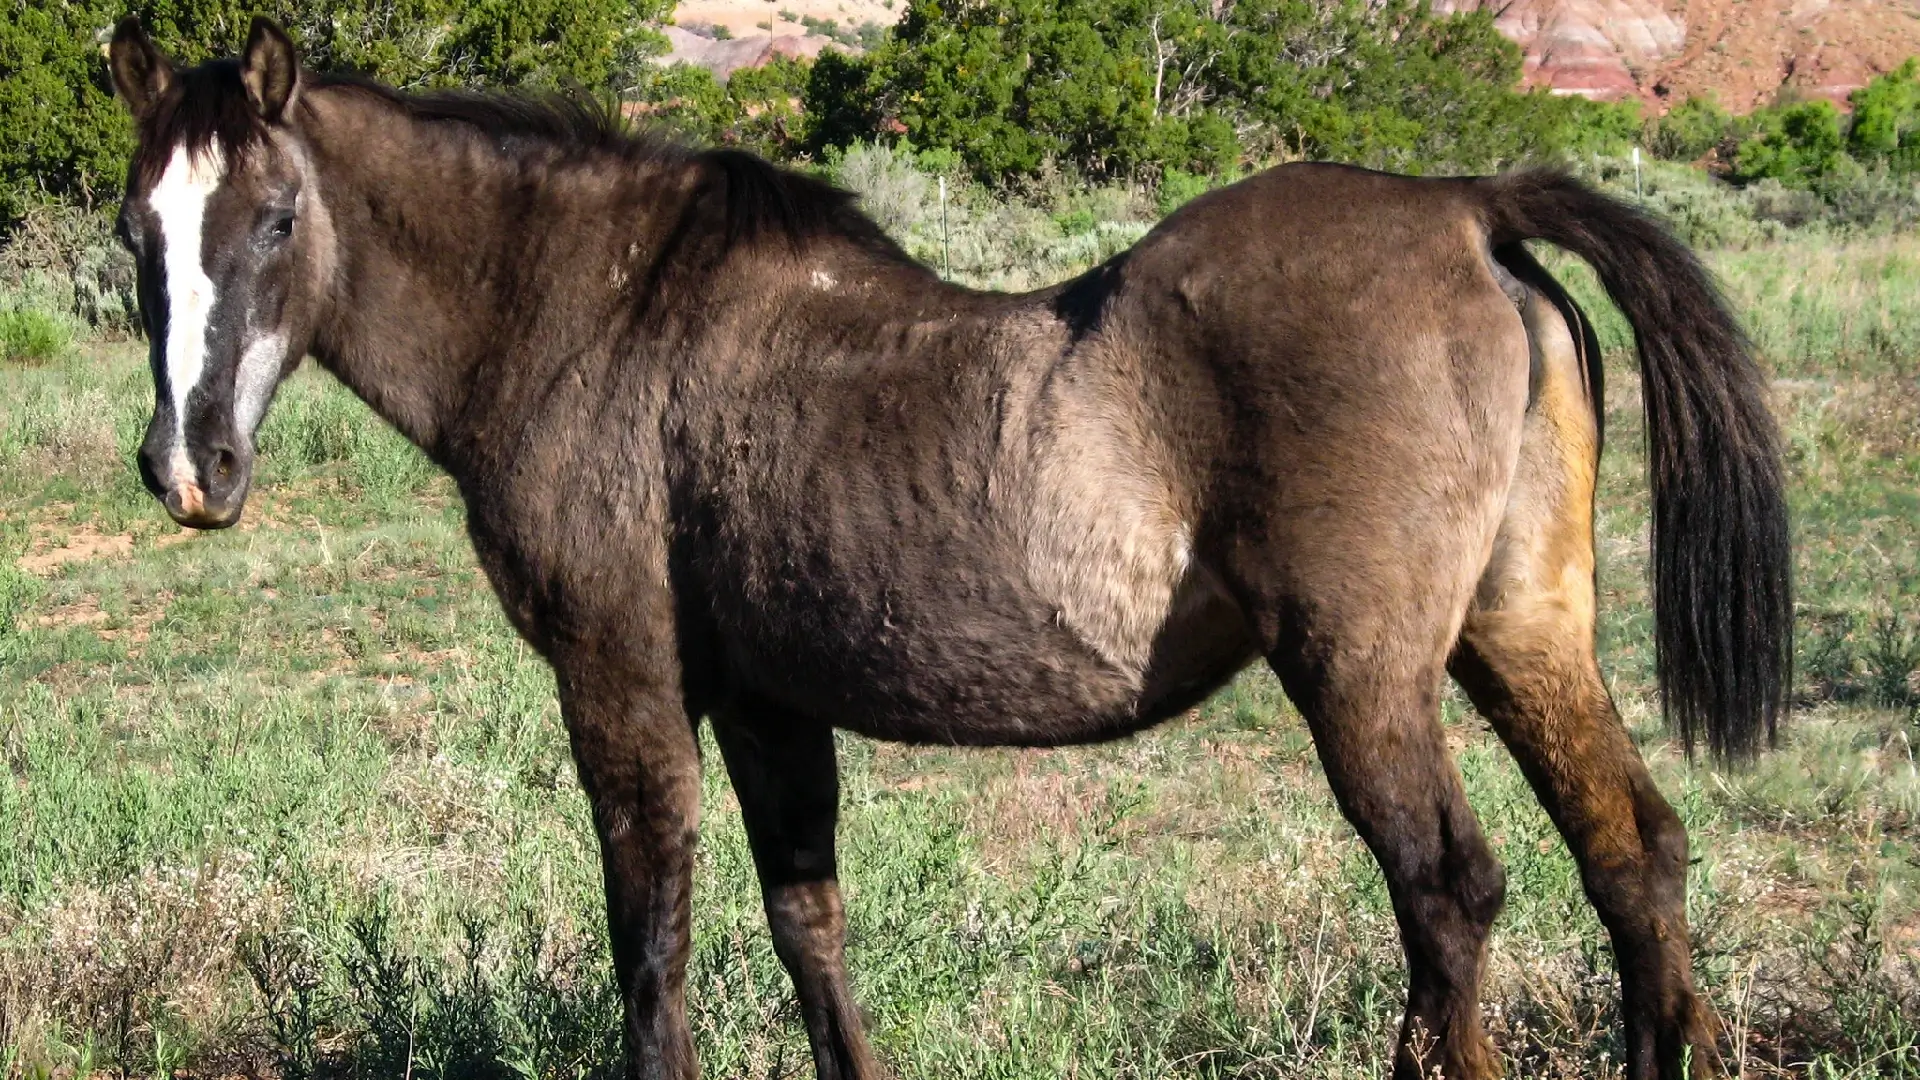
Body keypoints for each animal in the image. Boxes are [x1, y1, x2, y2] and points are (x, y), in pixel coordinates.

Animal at [101, 14, 1781, 1076]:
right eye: (134, 233)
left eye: (272, 221)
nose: (190, 468)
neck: (596, 312)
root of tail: (1468, 210)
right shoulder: (767, 702)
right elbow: (808, 928)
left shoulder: (620, 682)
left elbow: (654, 940)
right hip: (1522, 636)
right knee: (1633, 853)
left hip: (1365, 681)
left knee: (1449, 897)